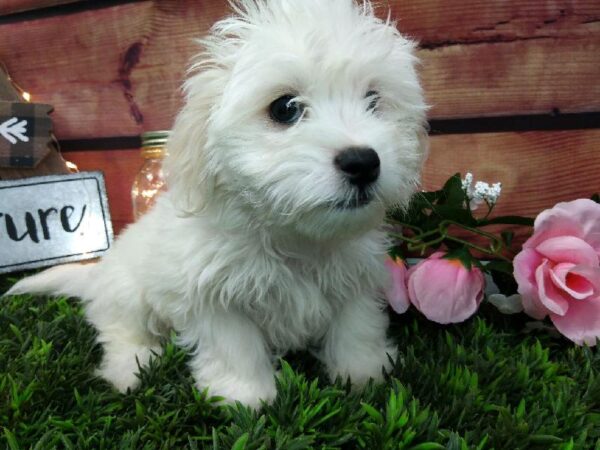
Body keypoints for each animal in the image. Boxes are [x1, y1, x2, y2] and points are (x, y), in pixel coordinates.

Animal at [5, 0, 426, 408]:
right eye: (285, 108)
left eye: (373, 101)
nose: (363, 162)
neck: (293, 236)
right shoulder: (210, 293)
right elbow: (234, 345)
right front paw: (244, 397)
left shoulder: (357, 273)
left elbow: (356, 325)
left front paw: (364, 373)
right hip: (128, 291)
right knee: (119, 329)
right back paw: (132, 367)